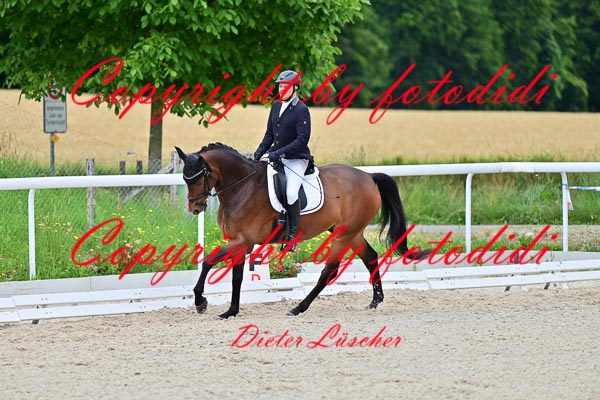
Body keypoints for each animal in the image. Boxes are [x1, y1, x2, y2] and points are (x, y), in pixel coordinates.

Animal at [175, 143, 429, 319]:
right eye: (185, 179)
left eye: (197, 179)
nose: (195, 208)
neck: (242, 187)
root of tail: (368, 176)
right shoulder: (239, 242)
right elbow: (236, 277)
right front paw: (231, 311)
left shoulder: (244, 241)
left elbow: (208, 261)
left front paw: (200, 302)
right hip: (352, 232)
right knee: (370, 257)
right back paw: (376, 301)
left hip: (344, 235)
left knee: (329, 270)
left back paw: (299, 308)